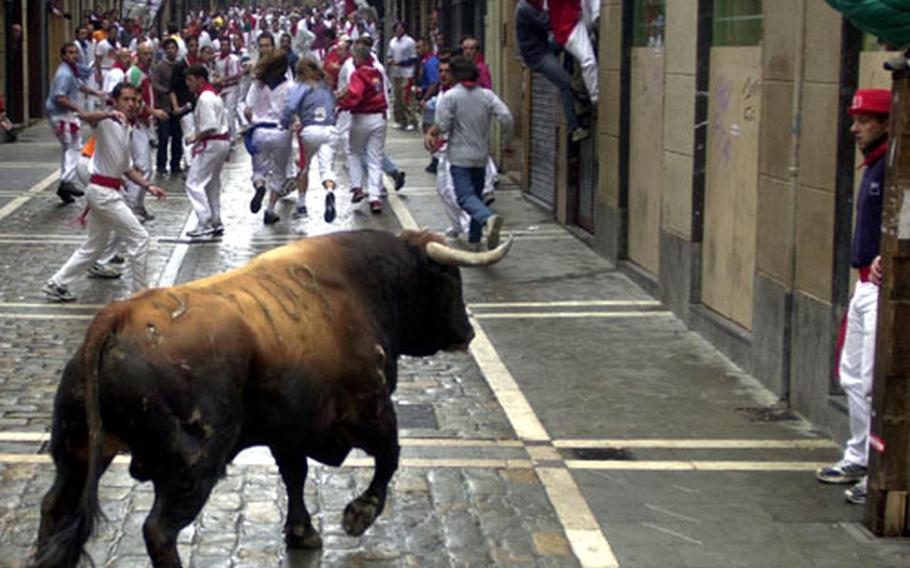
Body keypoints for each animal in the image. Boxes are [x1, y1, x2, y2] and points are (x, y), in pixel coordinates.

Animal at [30, 230, 512, 568]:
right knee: (158, 531)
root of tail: (119, 316)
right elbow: (389, 459)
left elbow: (295, 476)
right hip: (193, 465)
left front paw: (301, 531)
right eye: (451, 280)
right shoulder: (371, 409)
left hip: (76, 451)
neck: (362, 287)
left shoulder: (288, 430)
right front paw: (359, 515)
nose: (468, 332)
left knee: (55, 506)